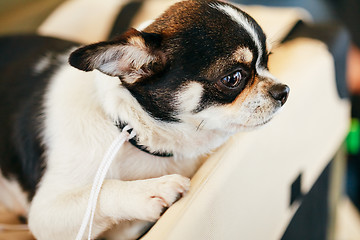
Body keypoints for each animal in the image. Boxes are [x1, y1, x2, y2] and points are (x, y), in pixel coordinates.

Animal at [0, 0, 288, 239]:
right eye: (233, 78)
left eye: (268, 61)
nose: (283, 91)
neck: (133, 132)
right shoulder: (46, 213)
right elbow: (100, 190)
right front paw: (151, 189)